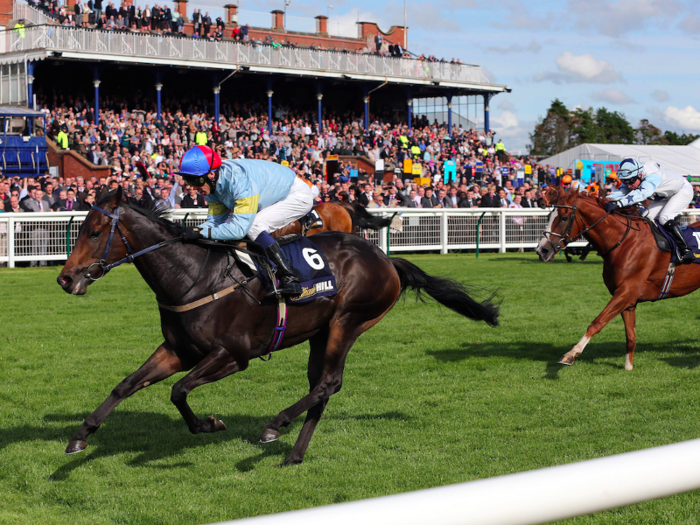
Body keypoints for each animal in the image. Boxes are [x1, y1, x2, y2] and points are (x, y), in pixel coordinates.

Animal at [58, 186, 498, 464]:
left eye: (95, 232)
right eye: (78, 230)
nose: (65, 278)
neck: (193, 277)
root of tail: (387, 259)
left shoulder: (232, 355)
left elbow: (178, 390)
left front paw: (208, 424)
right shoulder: (179, 350)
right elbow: (127, 384)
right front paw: (80, 435)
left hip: (349, 321)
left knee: (328, 383)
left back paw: (274, 426)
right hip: (321, 333)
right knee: (322, 387)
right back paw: (294, 454)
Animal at [536, 187, 700, 368]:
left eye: (564, 217)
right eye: (548, 216)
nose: (542, 250)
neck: (624, 241)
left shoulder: (625, 292)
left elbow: (597, 323)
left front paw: (571, 354)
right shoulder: (628, 299)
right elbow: (630, 335)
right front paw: (628, 366)